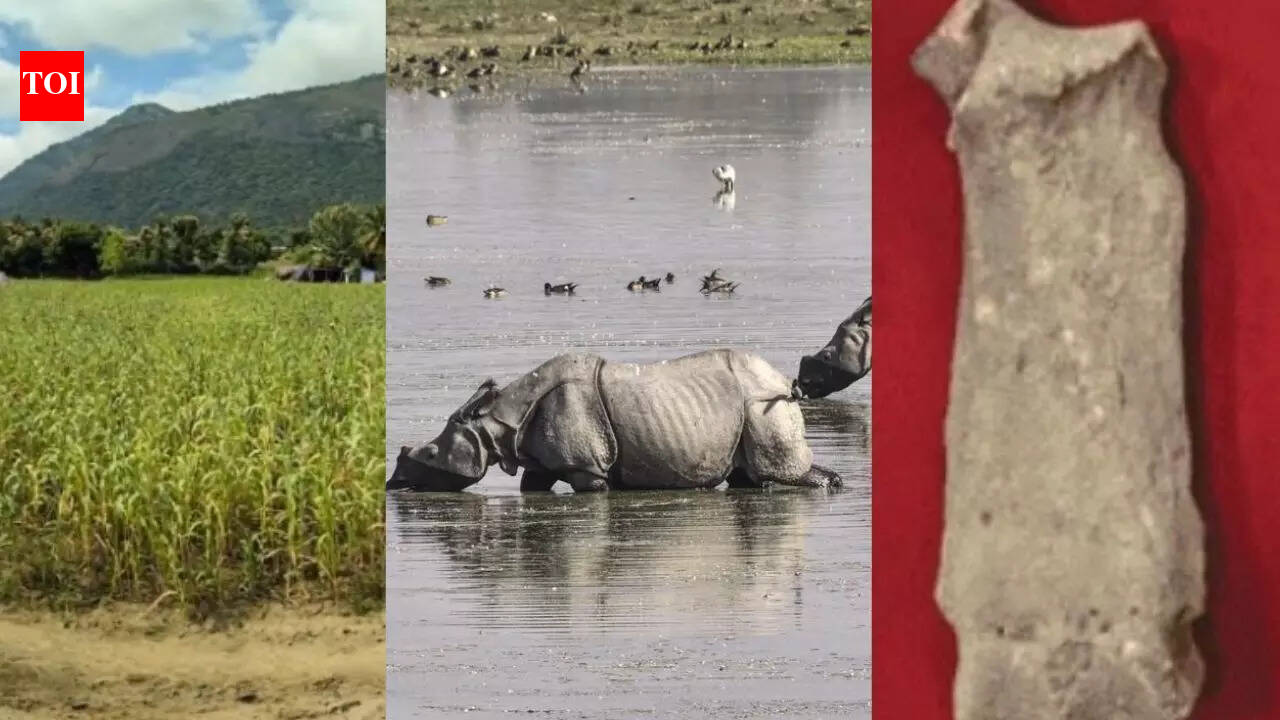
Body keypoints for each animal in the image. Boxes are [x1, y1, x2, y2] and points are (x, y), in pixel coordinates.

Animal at [388, 349, 842, 492]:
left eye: (431, 454)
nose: (394, 483)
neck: (498, 422)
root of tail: (784, 381)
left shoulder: (586, 469)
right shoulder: (543, 460)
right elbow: (530, 487)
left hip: (763, 407)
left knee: (777, 472)